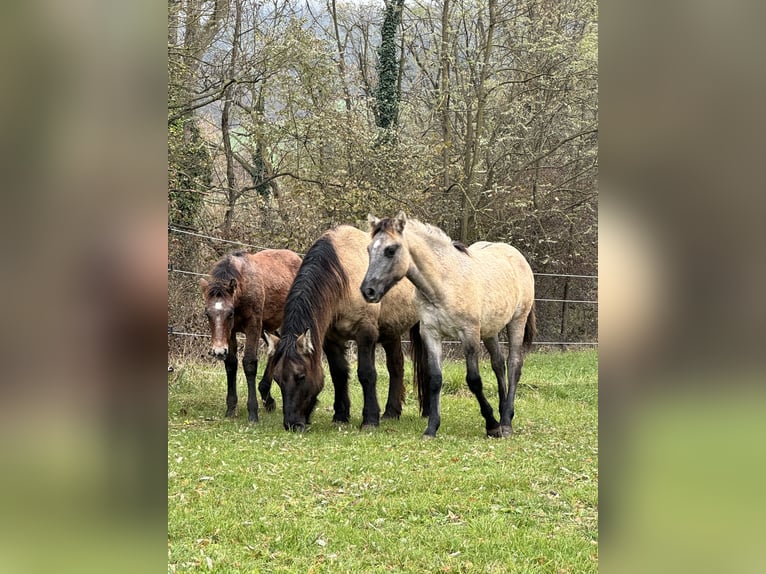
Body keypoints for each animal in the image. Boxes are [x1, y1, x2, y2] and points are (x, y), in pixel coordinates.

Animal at [264, 225, 420, 432]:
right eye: (277, 378)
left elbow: (366, 374)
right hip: (391, 332)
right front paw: (340, 415)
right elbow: (338, 373)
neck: (343, 278)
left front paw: (370, 419)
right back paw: (391, 412)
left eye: (301, 376)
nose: (292, 424)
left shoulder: (365, 333)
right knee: (396, 366)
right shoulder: (332, 339)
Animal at [362, 214, 536, 438]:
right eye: (369, 249)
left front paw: (492, 424)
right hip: (491, 330)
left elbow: (474, 380)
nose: (368, 291)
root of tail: (517, 256)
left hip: (517, 321)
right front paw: (431, 428)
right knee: (498, 363)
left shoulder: (469, 334)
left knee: (514, 364)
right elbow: (435, 379)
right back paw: (504, 410)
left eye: (391, 250)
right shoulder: (431, 334)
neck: (444, 283)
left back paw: (505, 422)